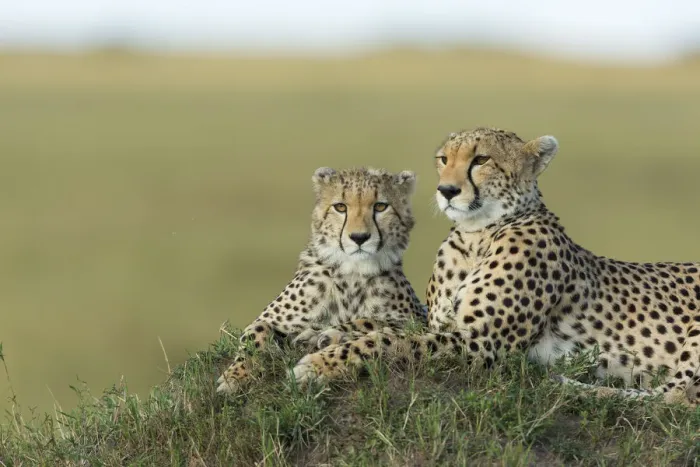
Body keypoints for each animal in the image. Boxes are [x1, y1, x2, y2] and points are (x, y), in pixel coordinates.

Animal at [216, 166, 426, 394]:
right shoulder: (268, 319)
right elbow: (255, 333)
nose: (359, 237)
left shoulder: (418, 320)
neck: (352, 273)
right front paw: (237, 375)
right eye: (340, 207)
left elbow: (374, 321)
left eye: (380, 206)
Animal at [291, 127, 700, 409]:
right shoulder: (444, 325)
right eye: (444, 159)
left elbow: (392, 341)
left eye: (481, 160)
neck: (476, 236)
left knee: (676, 399)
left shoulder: (481, 343)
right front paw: (329, 334)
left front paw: (320, 364)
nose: (447, 191)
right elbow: (396, 327)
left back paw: (570, 384)